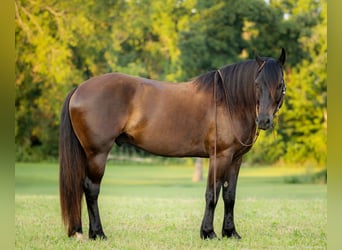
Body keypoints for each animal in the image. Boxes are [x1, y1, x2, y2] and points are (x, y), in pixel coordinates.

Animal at [58, 47, 286, 240]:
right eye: (257, 84)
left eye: (279, 85)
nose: (264, 120)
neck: (229, 101)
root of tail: (79, 89)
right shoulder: (220, 157)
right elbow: (212, 194)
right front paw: (208, 233)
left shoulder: (235, 159)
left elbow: (230, 196)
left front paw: (230, 233)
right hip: (97, 154)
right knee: (91, 189)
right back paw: (98, 233)